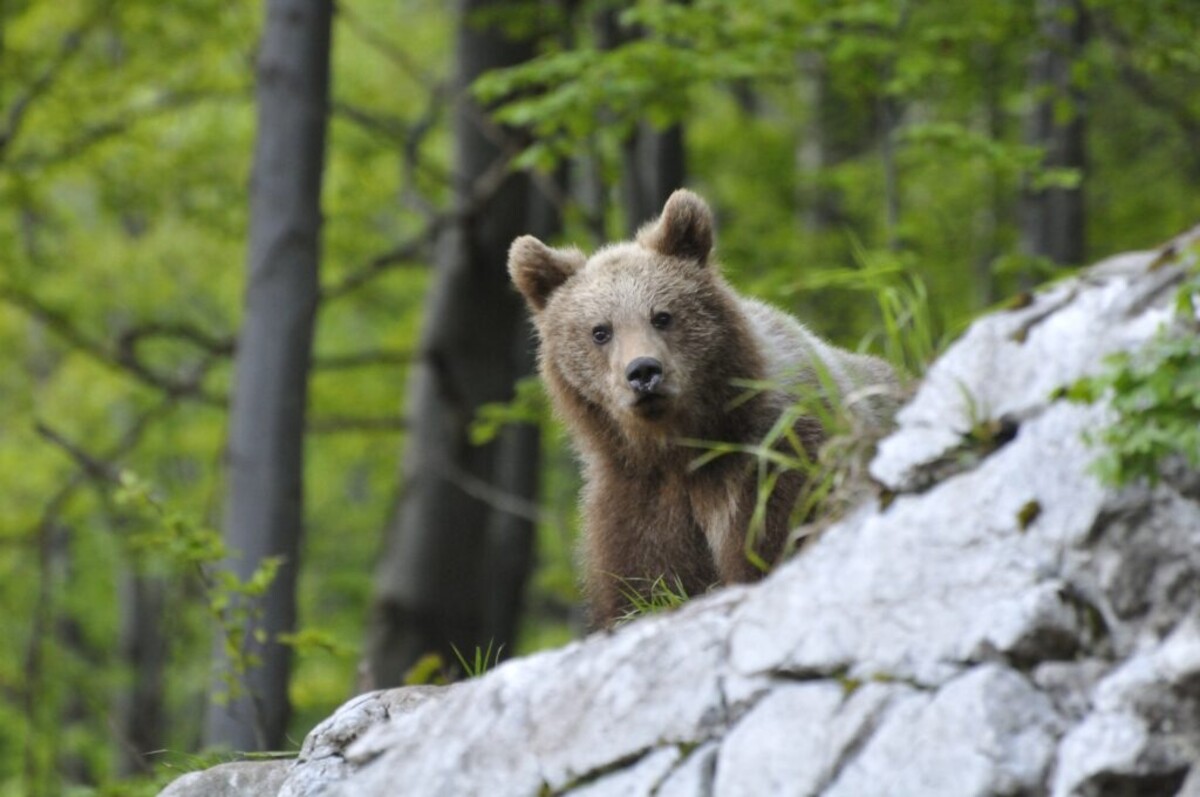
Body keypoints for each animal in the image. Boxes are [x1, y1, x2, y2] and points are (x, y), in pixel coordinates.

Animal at [506, 189, 892, 624]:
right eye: (600, 331)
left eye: (662, 315)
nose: (643, 371)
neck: (685, 445)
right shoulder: (639, 496)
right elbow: (643, 586)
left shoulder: (778, 455)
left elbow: (776, 540)